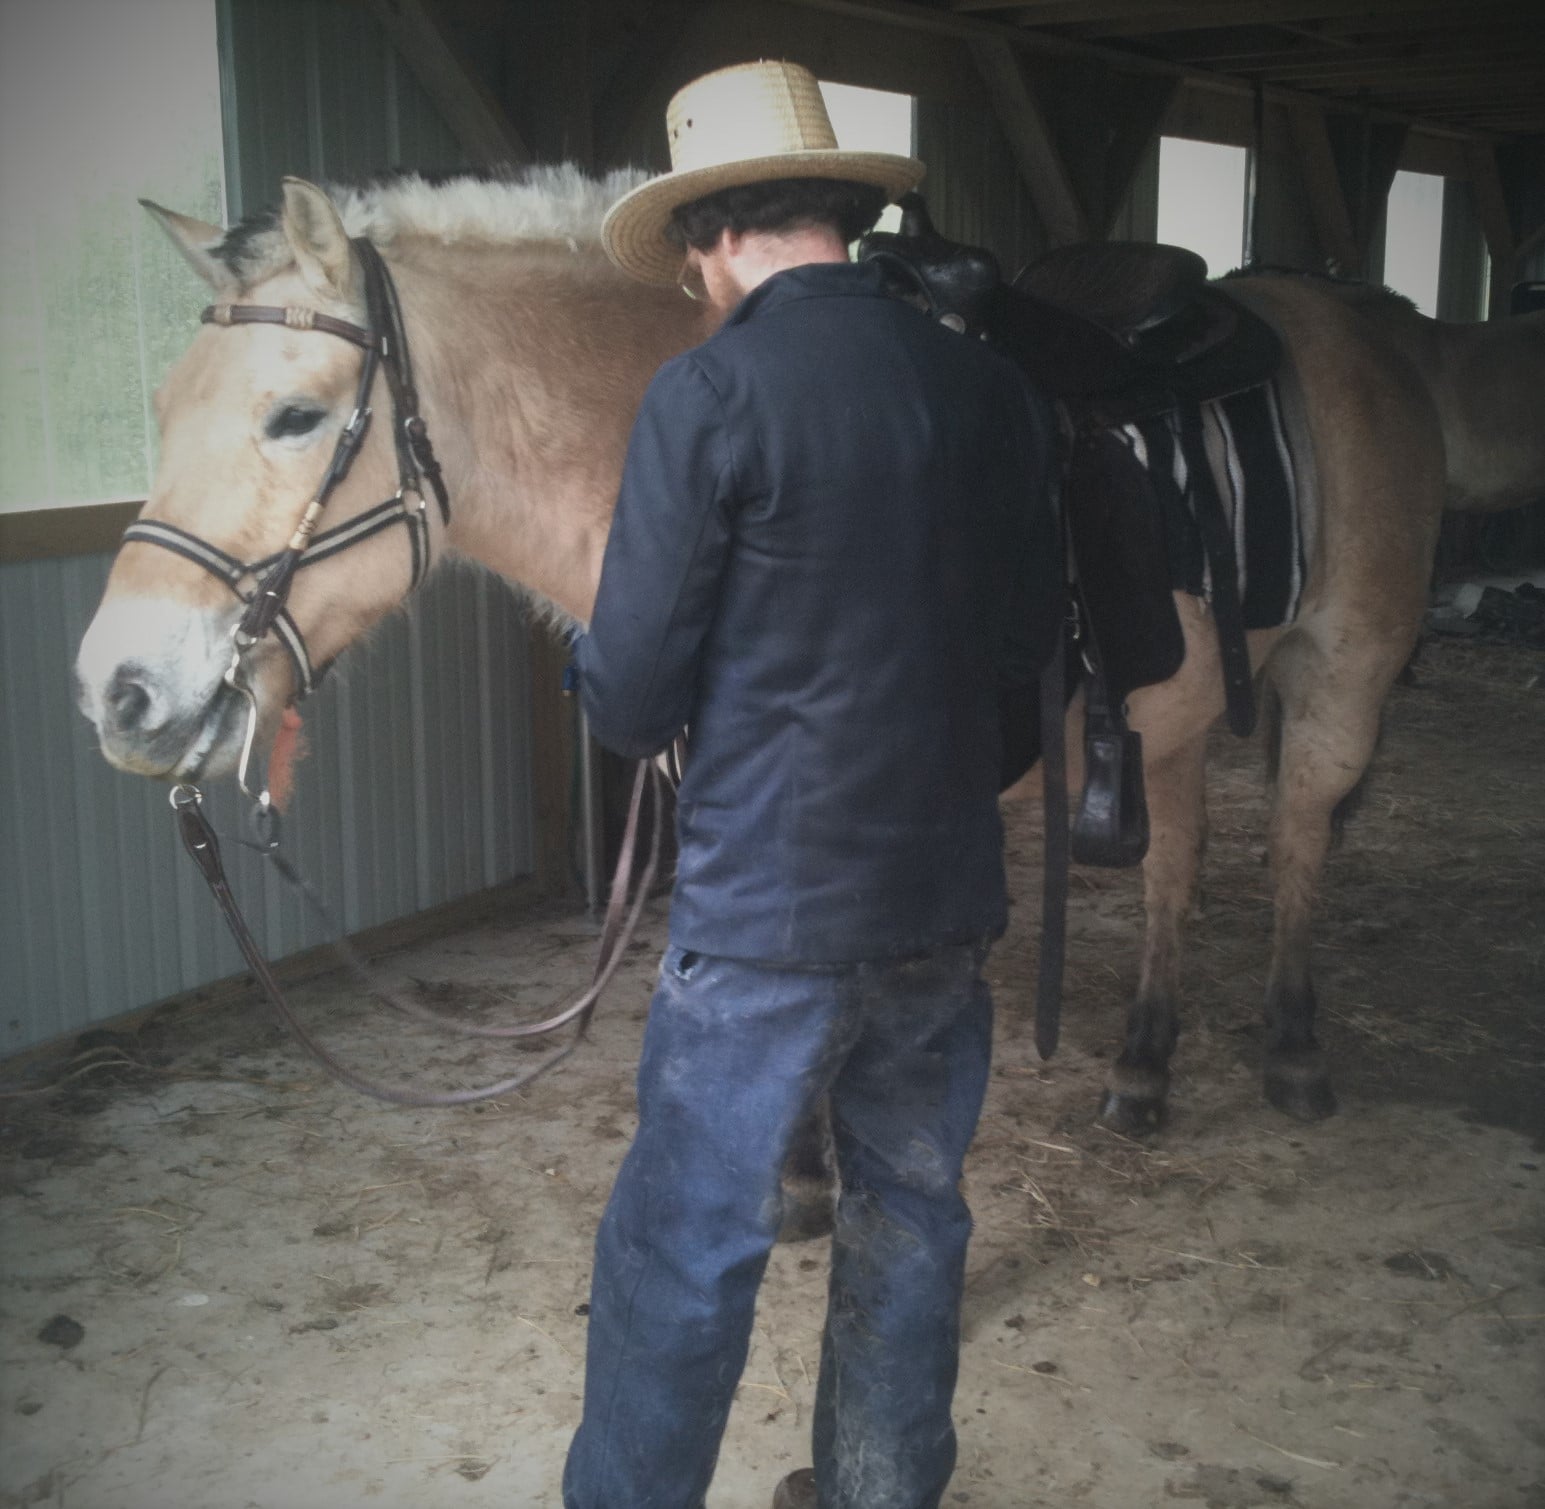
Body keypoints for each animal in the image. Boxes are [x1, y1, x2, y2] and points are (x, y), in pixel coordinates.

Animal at [75, 167, 1545, 1180]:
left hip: (1345, 672)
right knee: (1177, 861)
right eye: (159, 409)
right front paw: (795, 1174)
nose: (117, 689)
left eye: (296, 415)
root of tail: (1354, 324)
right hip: (1172, 712)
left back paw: (1291, 1047)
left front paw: (804, 1180)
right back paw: (1142, 1063)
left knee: (1298, 839)